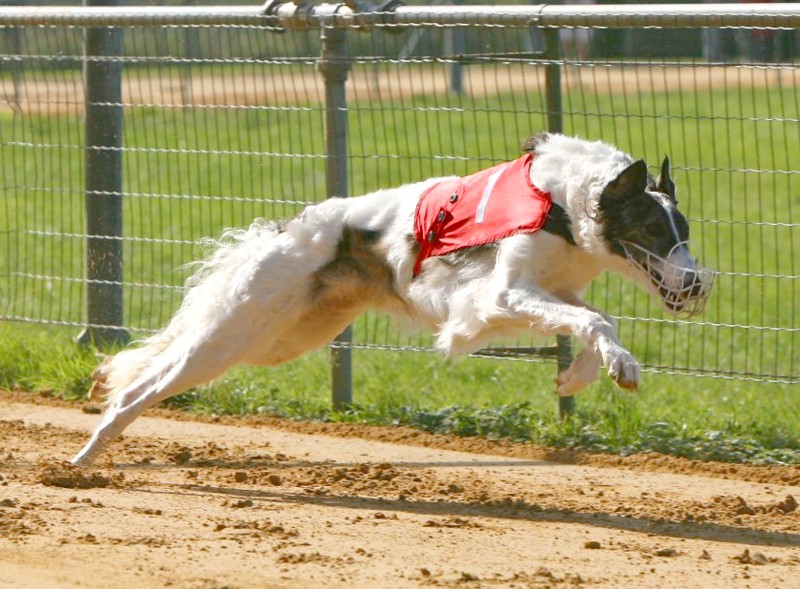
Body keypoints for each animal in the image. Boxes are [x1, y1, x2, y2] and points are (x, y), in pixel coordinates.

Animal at [71, 133, 714, 465]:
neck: (563, 204)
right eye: (653, 232)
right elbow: (593, 319)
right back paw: (84, 459)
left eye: (684, 232)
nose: (695, 283)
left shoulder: (548, 290)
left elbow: (594, 316)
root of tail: (288, 228)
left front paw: (580, 376)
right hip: (232, 333)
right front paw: (616, 366)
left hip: (284, 338)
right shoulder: (498, 294)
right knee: (143, 386)